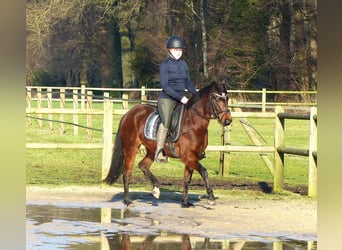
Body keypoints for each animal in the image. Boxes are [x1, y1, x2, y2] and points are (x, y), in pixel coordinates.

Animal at [103, 80, 232, 207]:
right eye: (216, 99)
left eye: (227, 99)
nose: (227, 120)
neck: (194, 123)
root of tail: (129, 113)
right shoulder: (188, 156)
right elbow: (204, 172)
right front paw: (211, 198)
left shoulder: (192, 157)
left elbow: (187, 179)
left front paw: (185, 202)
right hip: (131, 148)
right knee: (127, 173)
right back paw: (128, 200)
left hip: (152, 150)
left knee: (143, 165)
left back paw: (156, 188)